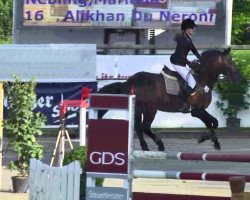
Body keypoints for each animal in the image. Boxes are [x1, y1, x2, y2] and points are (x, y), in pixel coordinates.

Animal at [97, 48, 240, 152]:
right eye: (230, 62)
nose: (238, 77)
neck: (201, 80)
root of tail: (130, 81)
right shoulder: (197, 111)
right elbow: (213, 123)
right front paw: (204, 138)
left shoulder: (200, 110)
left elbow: (212, 123)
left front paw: (214, 142)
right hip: (150, 109)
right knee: (145, 127)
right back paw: (159, 145)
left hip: (139, 108)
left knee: (138, 127)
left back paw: (145, 146)